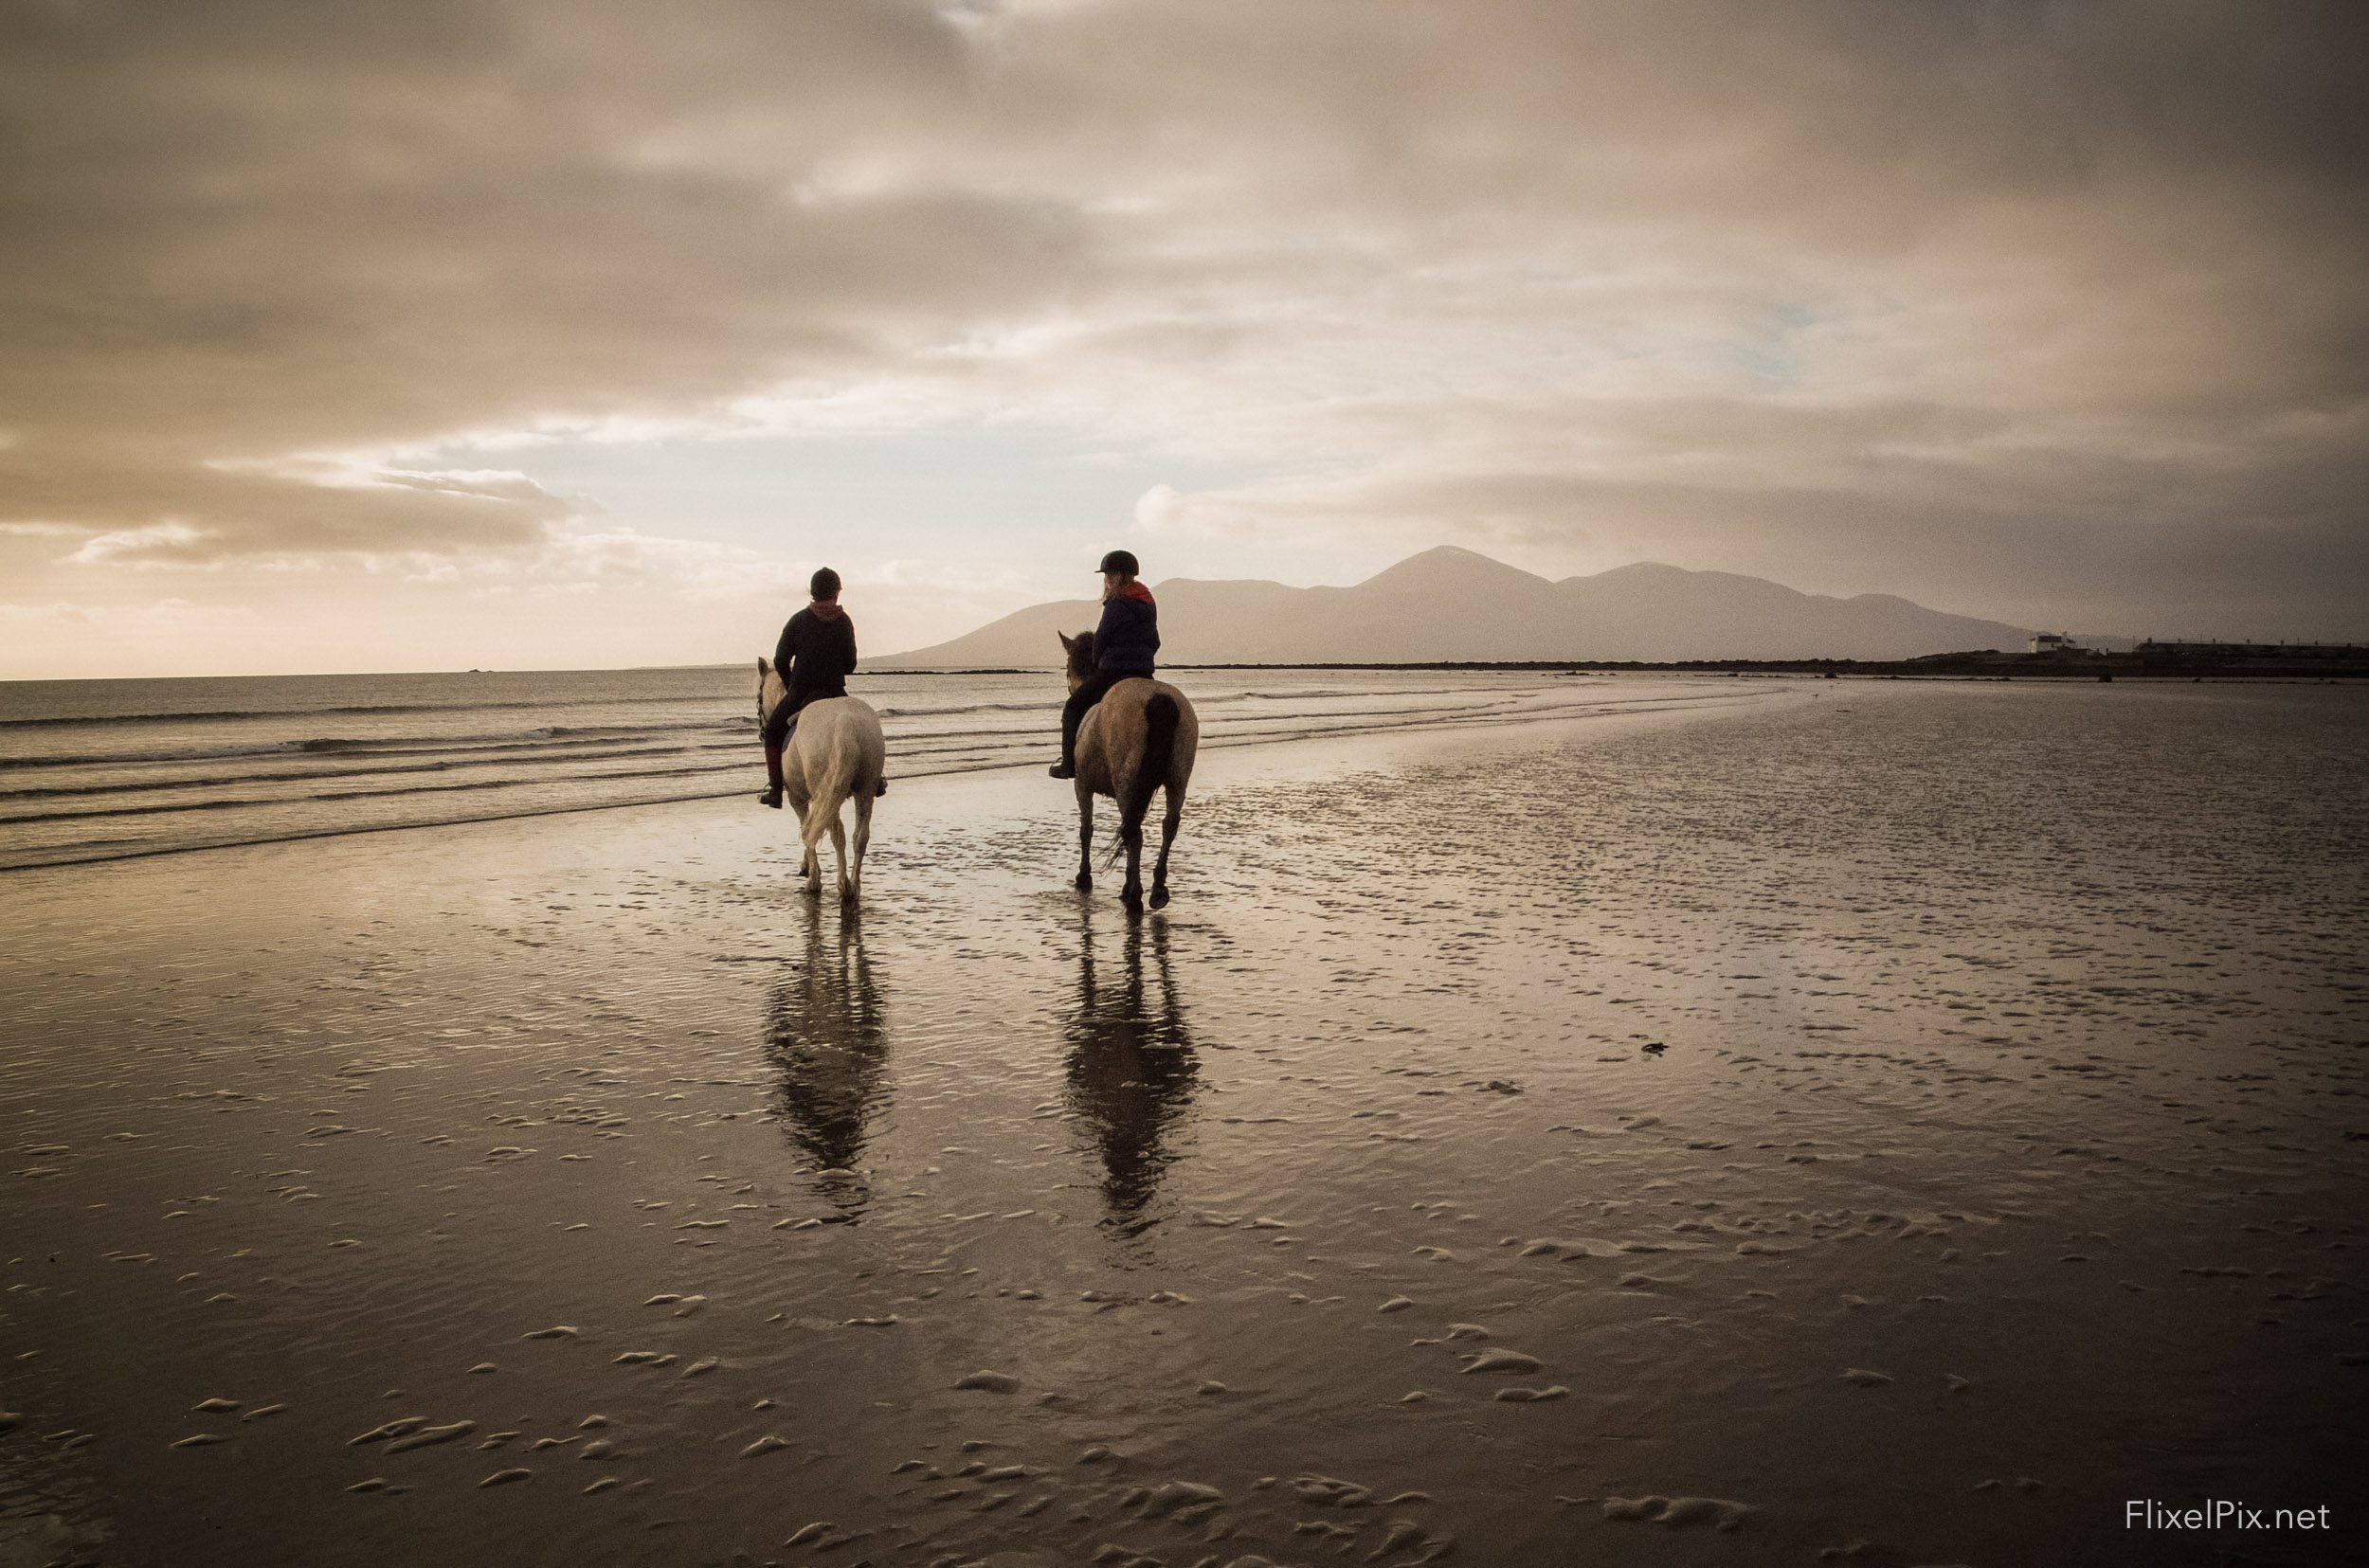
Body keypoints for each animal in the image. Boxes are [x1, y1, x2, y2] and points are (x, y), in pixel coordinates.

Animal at [753, 658, 886, 910]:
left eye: (758, 697)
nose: (762, 731)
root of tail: (846, 722)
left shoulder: (797, 797)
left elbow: (807, 830)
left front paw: (812, 877)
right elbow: (812, 828)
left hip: (826, 791)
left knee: (837, 834)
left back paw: (843, 887)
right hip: (864, 790)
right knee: (859, 837)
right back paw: (854, 886)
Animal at [1061, 635, 1194, 914]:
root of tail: (1158, 697)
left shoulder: (1082, 785)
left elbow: (1086, 829)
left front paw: (1084, 877)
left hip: (1126, 784)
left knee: (1133, 832)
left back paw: (1134, 896)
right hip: (1177, 780)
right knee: (1168, 826)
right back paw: (1157, 890)